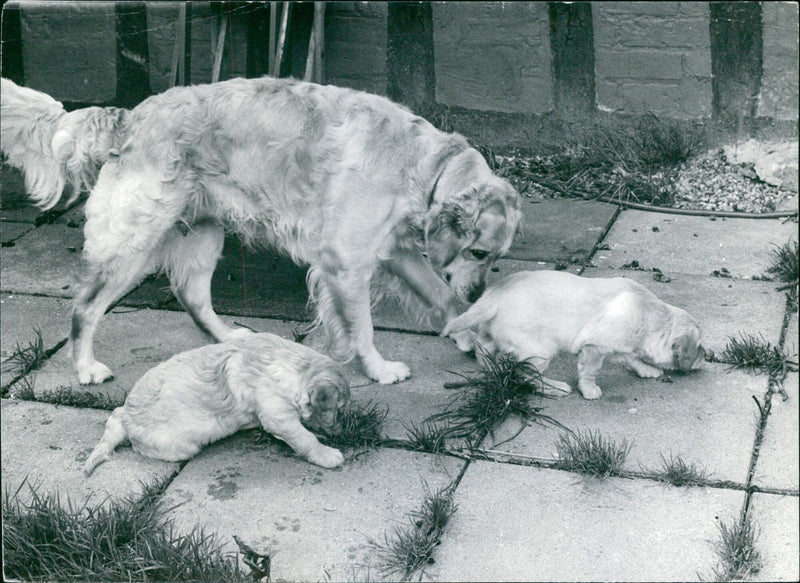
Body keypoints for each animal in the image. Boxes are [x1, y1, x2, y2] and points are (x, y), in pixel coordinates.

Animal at [0, 77, 520, 388]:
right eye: (479, 253)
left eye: (495, 259)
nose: (481, 293)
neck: (421, 163)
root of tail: (127, 117)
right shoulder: (347, 264)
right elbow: (363, 329)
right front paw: (378, 369)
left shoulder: (395, 253)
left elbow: (443, 296)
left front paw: (473, 335)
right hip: (132, 246)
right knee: (85, 308)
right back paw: (86, 367)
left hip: (203, 236)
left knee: (192, 296)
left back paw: (231, 339)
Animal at [82, 330, 354, 476]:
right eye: (339, 412)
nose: (342, 431)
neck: (291, 364)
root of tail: (128, 419)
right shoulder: (278, 416)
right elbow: (304, 437)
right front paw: (326, 453)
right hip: (182, 446)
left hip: (122, 414)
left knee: (114, 414)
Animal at [440, 272, 704, 402]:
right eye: (699, 348)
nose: (709, 355)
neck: (651, 315)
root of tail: (492, 296)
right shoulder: (594, 347)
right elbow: (590, 372)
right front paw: (589, 391)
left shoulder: (617, 345)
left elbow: (632, 358)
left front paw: (647, 370)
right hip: (540, 351)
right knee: (525, 373)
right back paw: (555, 388)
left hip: (494, 334)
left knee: (483, 347)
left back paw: (490, 369)